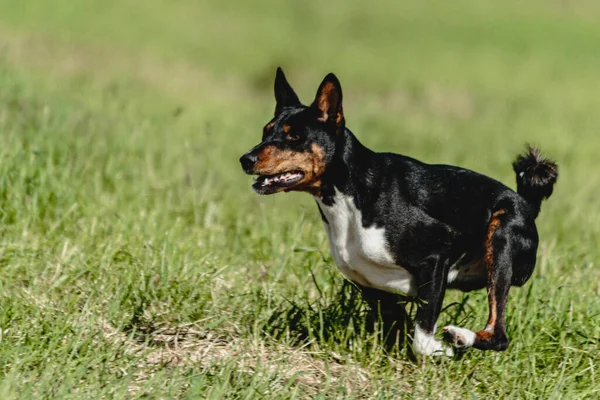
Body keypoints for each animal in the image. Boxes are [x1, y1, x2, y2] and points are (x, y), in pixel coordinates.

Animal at [239, 68, 556, 356]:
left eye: (295, 136)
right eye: (266, 132)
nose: (245, 159)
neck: (353, 196)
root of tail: (526, 202)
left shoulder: (436, 258)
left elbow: (422, 340)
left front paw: (442, 350)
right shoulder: (373, 288)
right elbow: (402, 328)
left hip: (500, 238)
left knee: (499, 334)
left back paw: (461, 338)